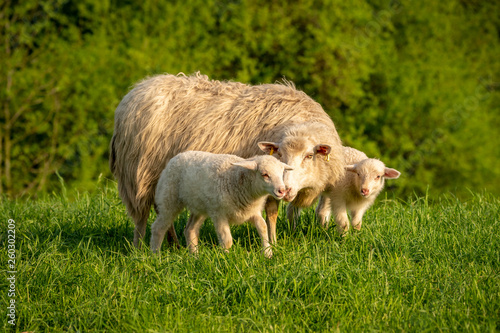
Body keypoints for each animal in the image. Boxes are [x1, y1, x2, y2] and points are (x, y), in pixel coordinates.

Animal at [150, 150, 292, 256]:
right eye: (265, 174)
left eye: (281, 173)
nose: (282, 190)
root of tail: (177, 156)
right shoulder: (219, 214)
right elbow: (227, 239)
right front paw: (226, 258)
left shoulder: (252, 211)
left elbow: (263, 227)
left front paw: (268, 253)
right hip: (169, 198)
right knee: (158, 227)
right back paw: (156, 255)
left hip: (200, 206)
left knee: (190, 229)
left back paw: (195, 256)